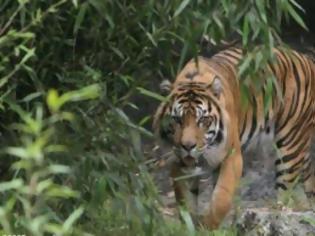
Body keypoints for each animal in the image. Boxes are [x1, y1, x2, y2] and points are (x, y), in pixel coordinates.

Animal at [153, 47, 315, 230]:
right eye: (177, 120)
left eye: (203, 120)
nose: (188, 146)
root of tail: (306, 58)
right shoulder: (179, 162)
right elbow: (185, 201)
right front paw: (189, 226)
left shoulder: (231, 156)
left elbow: (221, 198)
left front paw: (207, 227)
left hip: (289, 146)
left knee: (285, 190)